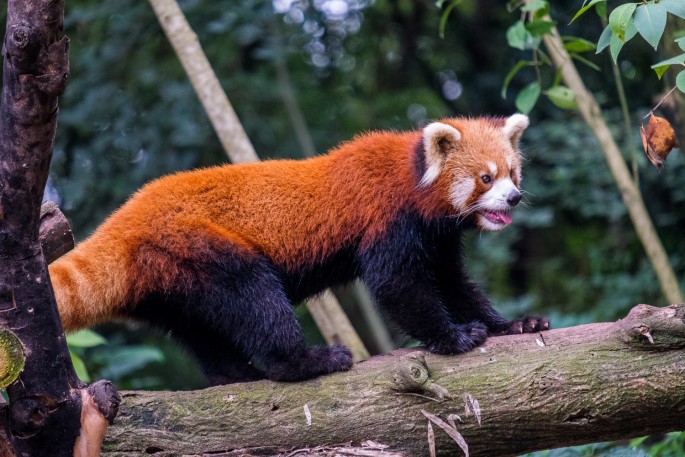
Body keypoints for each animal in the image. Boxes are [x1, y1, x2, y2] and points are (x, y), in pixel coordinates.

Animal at [48, 113, 552, 382]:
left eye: (513, 173)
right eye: (485, 177)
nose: (513, 198)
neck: (413, 182)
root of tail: (125, 218)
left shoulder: (439, 240)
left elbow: (454, 284)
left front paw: (513, 325)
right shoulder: (388, 222)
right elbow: (400, 287)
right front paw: (455, 337)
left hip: (171, 279)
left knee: (197, 329)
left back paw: (234, 373)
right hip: (203, 247)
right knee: (255, 299)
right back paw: (306, 361)